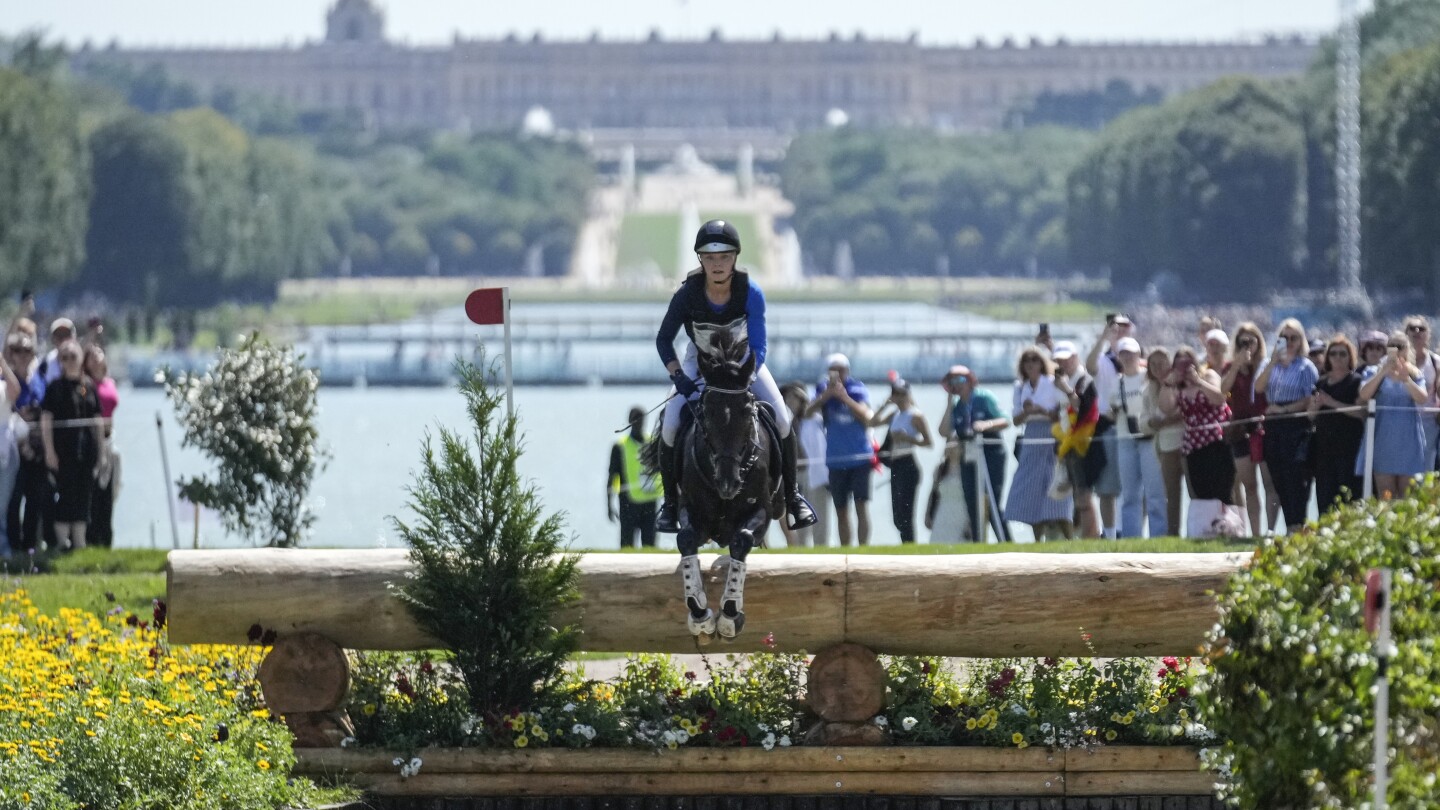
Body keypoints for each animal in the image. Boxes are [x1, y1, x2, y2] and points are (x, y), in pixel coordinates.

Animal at [650, 337, 783, 639]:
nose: (728, 483)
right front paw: (699, 612)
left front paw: (730, 613)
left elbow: (742, 540)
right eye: (706, 413)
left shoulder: (762, 512)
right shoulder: (693, 512)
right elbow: (686, 539)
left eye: (746, 412)